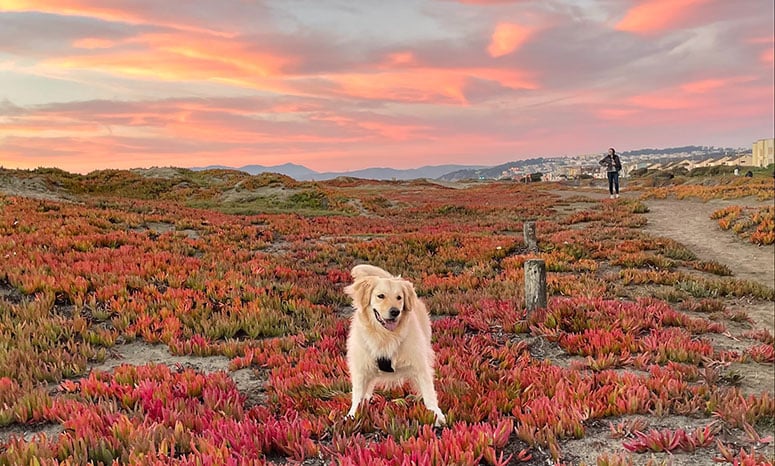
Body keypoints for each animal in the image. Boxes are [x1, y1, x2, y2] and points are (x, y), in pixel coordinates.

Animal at [344, 264, 446, 424]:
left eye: (399, 297)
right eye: (380, 296)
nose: (395, 312)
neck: (385, 336)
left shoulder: (419, 364)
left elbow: (428, 391)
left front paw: (436, 414)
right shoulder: (361, 367)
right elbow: (358, 394)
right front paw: (353, 414)